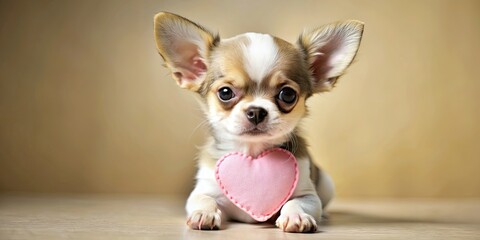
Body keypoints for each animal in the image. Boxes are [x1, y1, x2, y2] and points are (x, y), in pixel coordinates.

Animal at [154, 11, 364, 232]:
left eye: (287, 94)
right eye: (225, 92)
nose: (256, 111)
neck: (252, 152)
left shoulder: (308, 195)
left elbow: (297, 202)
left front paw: (296, 216)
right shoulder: (205, 188)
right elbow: (203, 199)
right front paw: (203, 213)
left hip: (326, 185)